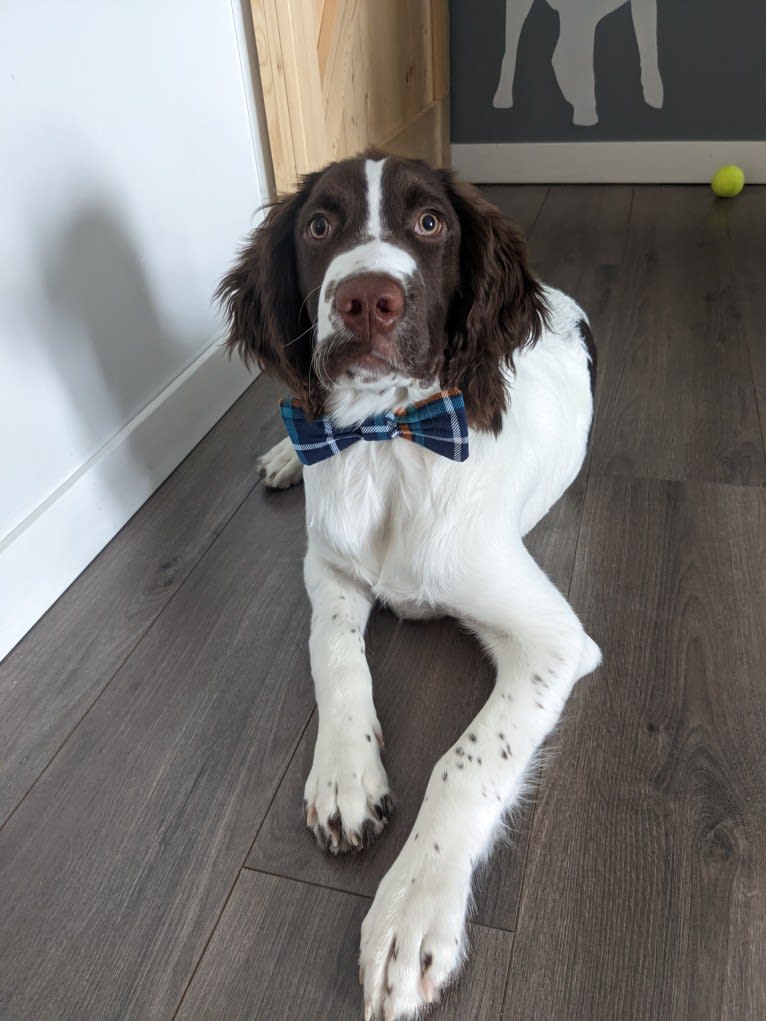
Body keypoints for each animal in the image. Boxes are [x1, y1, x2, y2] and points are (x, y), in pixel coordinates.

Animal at [216, 153, 600, 1021]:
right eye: (319, 225)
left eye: (430, 223)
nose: (366, 298)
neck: (388, 441)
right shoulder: (327, 565)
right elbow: (333, 652)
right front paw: (345, 775)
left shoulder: (555, 639)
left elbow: (466, 759)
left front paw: (412, 909)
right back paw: (286, 455)